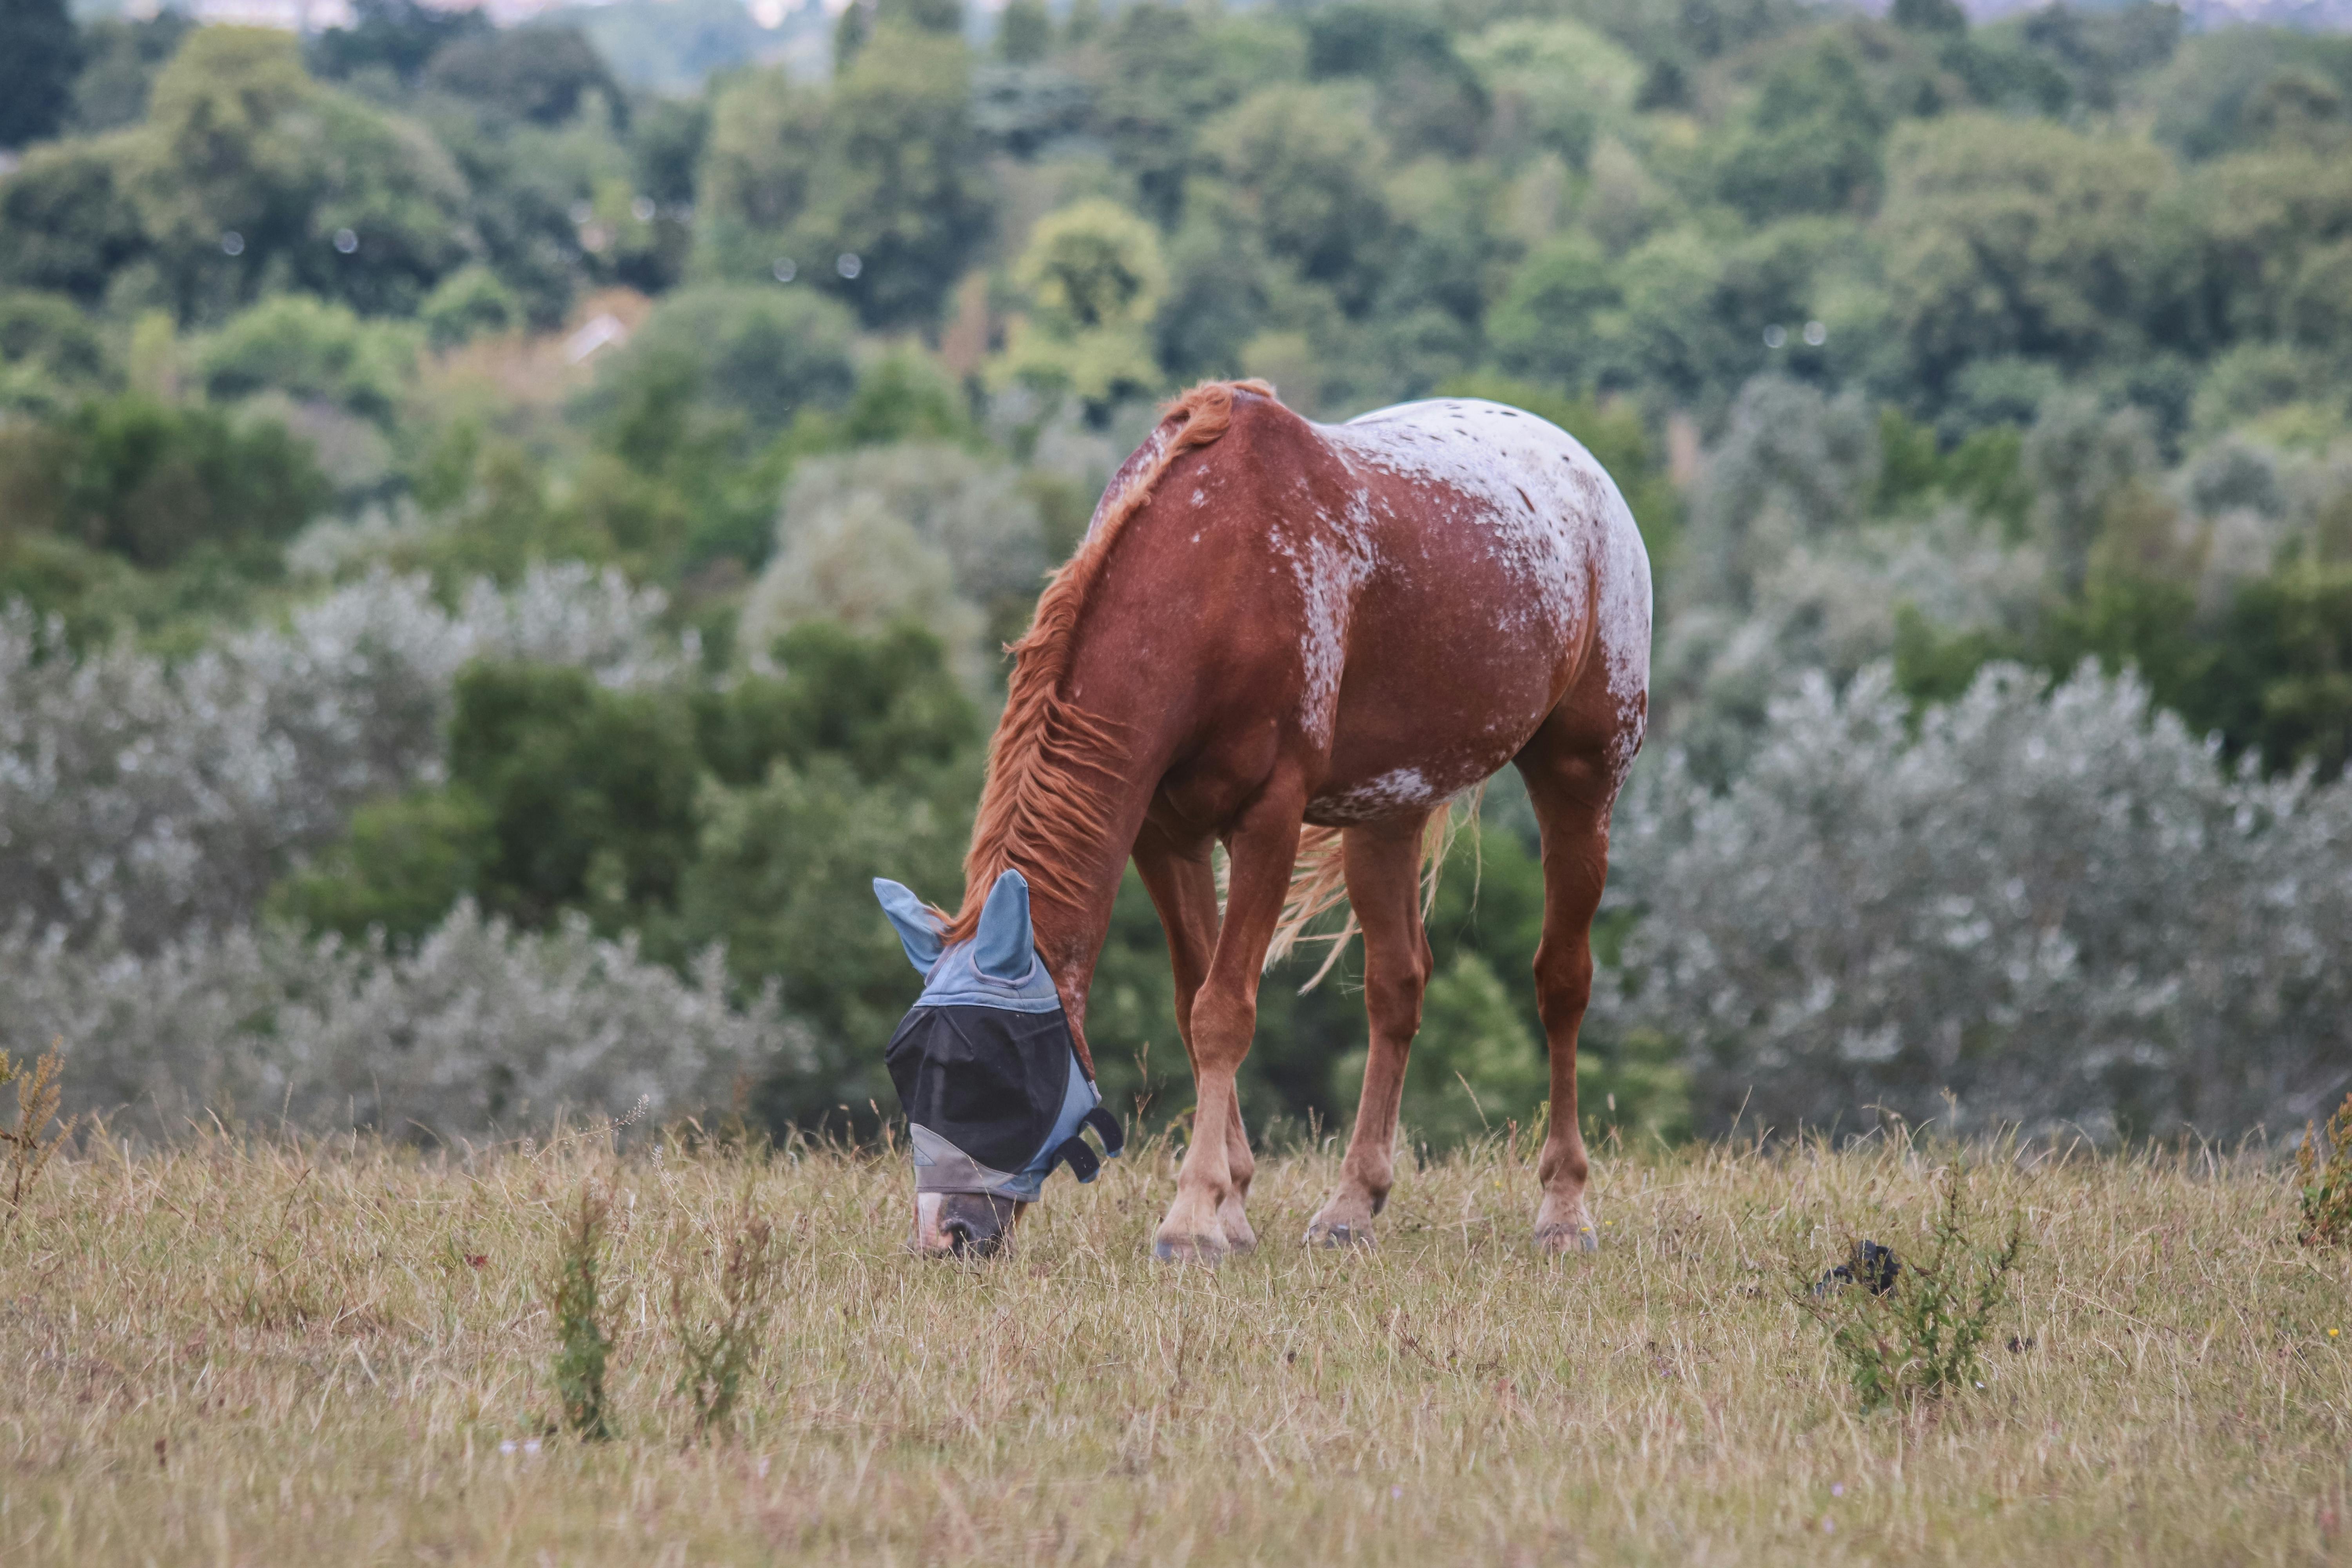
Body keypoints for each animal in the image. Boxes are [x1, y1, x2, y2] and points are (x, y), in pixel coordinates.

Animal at [871, 380, 1652, 1261]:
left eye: (992, 1074)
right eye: (908, 1066)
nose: (944, 1233)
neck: (1214, 569)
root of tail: (1583, 468)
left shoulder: (1269, 820)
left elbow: (1224, 1011)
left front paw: (1192, 1217)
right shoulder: (1165, 834)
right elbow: (1193, 1002)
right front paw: (1233, 1205)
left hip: (1582, 779)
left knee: (1562, 983)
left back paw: (1564, 1207)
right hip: (1388, 810)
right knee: (1397, 987)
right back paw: (1351, 1203)